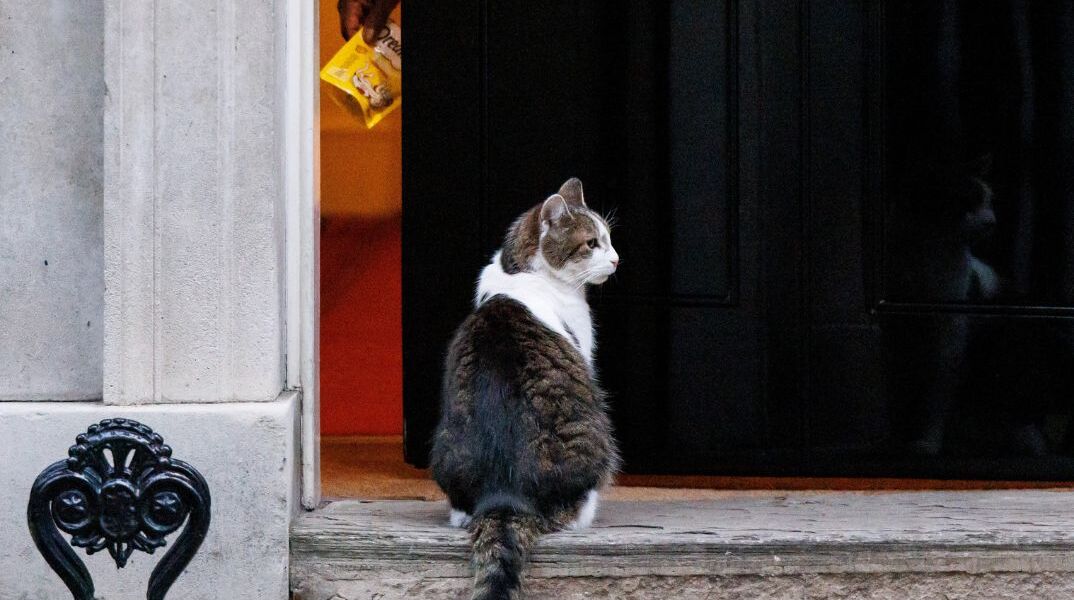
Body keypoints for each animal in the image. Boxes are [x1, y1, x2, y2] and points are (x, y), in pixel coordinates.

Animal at [429, 178, 622, 600]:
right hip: (597, 438)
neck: (517, 270)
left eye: (609, 238)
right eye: (592, 243)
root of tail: (506, 497)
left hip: (444, 446)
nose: (617, 260)